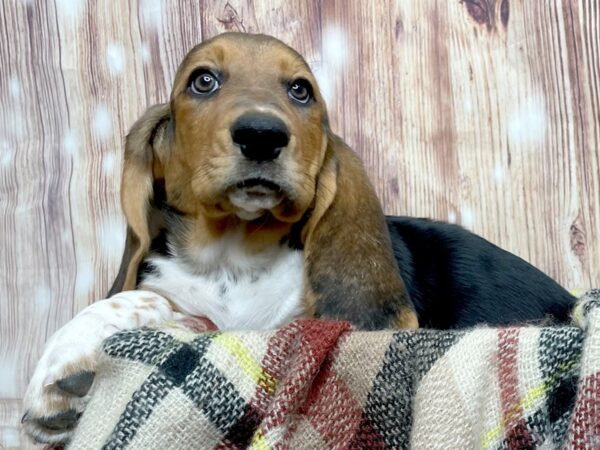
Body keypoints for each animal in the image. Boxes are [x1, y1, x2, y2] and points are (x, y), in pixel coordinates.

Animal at [23, 33, 576, 444]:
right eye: (203, 81)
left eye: (300, 91)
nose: (262, 134)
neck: (232, 253)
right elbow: (141, 298)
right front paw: (62, 368)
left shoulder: (297, 331)